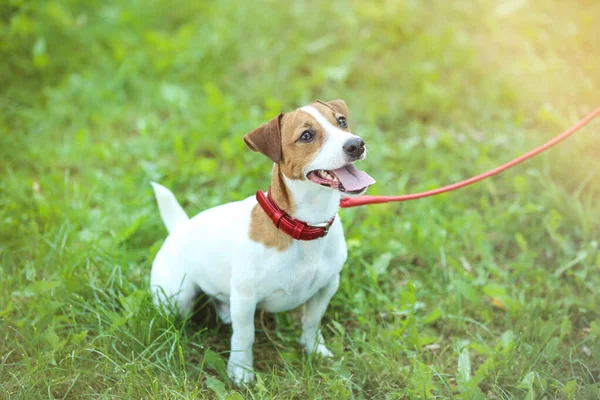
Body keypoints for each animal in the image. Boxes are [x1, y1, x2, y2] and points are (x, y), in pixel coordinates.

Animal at [150, 100, 376, 384]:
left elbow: (312, 321)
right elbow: (245, 336)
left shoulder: (326, 286)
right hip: (176, 298)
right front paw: (241, 370)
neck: (304, 227)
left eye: (342, 122)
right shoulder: (246, 298)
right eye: (306, 136)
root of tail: (179, 227)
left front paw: (314, 349)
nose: (356, 144)